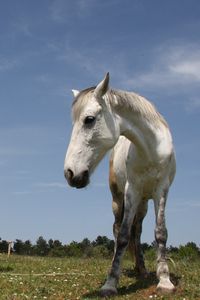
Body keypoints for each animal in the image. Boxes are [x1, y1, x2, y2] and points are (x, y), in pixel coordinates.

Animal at [63, 74, 175, 296]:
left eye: (89, 120)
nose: (70, 173)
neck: (151, 149)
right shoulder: (131, 190)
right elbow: (123, 236)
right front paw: (110, 283)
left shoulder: (161, 190)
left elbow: (160, 232)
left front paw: (164, 280)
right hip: (118, 199)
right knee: (117, 230)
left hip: (143, 202)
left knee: (137, 232)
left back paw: (142, 270)